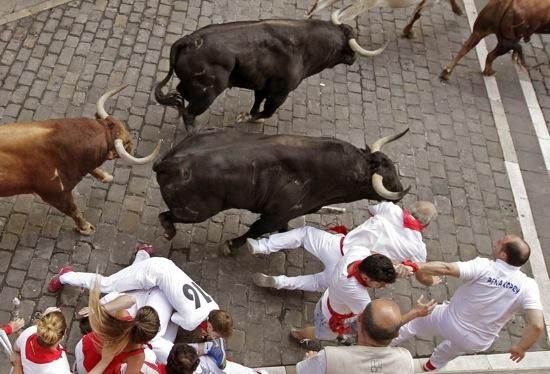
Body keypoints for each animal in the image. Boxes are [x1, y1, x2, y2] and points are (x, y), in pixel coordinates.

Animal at [0, 86, 163, 235]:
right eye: (127, 142)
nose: (132, 147)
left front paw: (106, 176)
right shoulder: (55, 195)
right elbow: (74, 211)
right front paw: (86, 228)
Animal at [153, 129, 412, 254]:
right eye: (388, 178)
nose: (400, 191)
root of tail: (172, 162)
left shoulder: (285, 216)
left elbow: (284, 229)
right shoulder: (274, 214)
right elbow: (255, 230)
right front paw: (231, 245)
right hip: (195, 212)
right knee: (165, 216)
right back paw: (168, 232)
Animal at [155, 18, 388, 130]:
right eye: (347, 49)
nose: (354, 58)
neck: (305, 46)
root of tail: (189, 40)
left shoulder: (262, 85)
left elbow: (258, 102)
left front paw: (249, 114)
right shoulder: (280, 92)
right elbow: (267, 111)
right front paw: (246, 117)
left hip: (191, 87)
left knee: (179, 95)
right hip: (207, 93)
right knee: (189, 113)